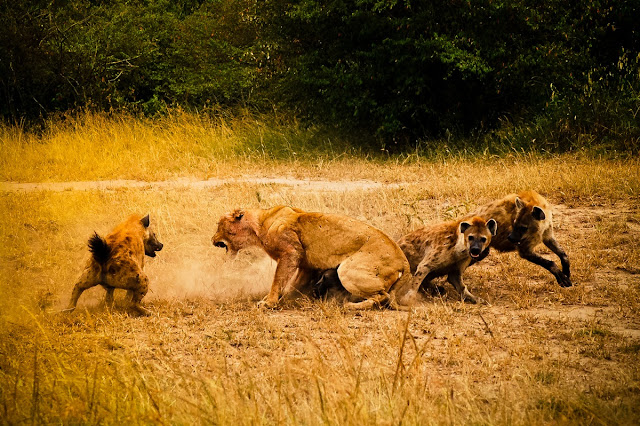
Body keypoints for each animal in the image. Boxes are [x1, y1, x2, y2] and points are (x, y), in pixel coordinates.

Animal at [210, 205, 410, 308]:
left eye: (218, 224)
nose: (212, 240)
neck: (259, 224)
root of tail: (403, 261)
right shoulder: (304, 264)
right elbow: (293, 284)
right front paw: (289, 297)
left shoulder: (291, 252)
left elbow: (277, 280)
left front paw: (269, 302)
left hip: (348, 270)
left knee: (383, 296)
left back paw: (352, 306)